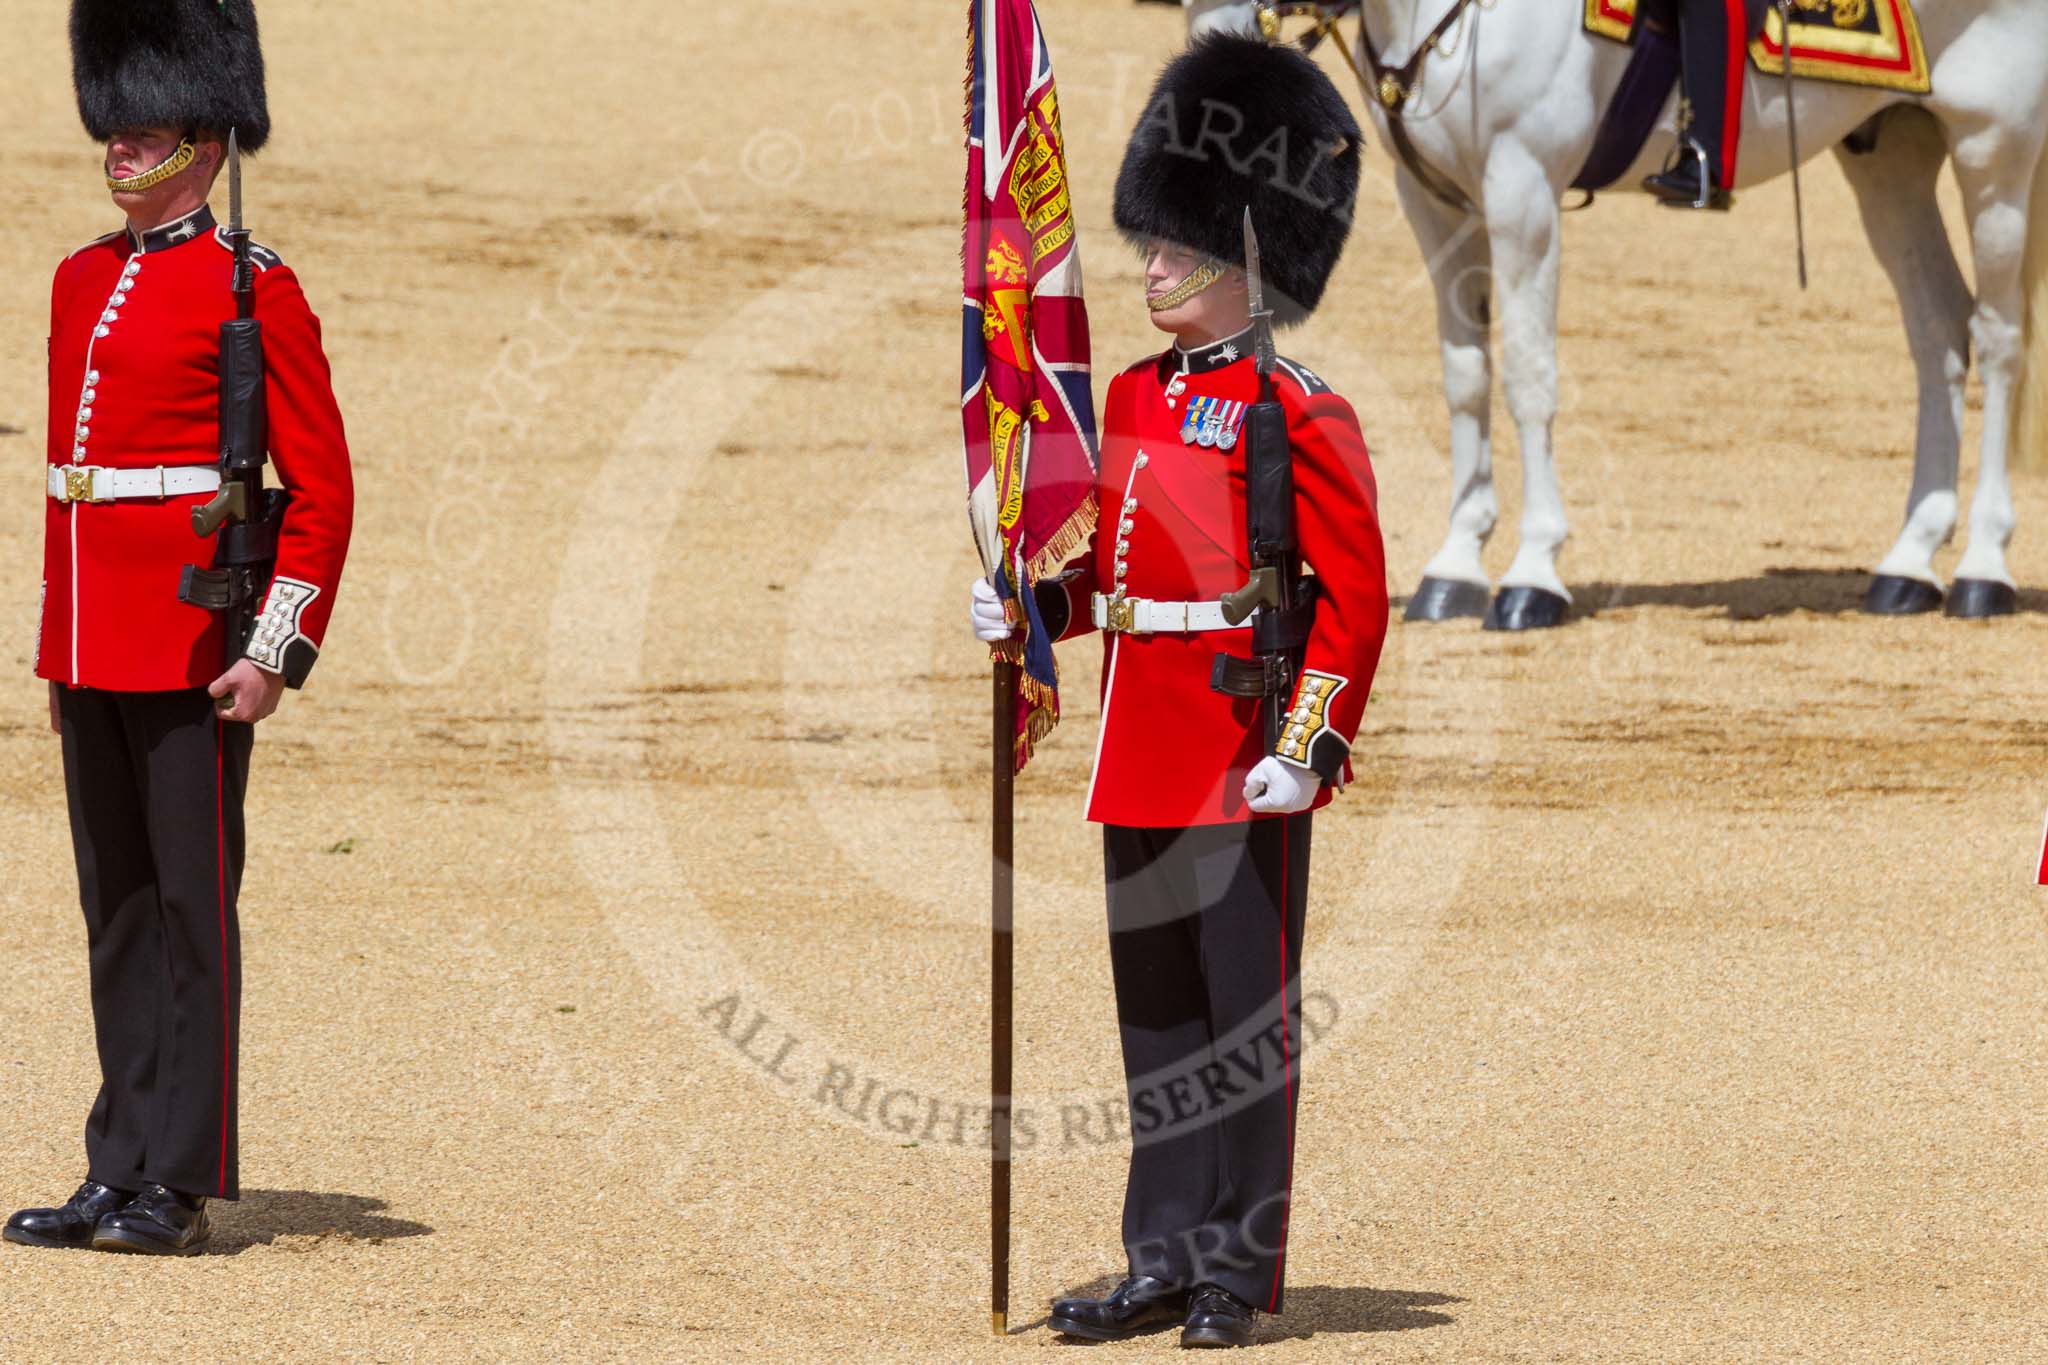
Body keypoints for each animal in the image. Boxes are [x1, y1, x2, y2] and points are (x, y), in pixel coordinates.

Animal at [1179, 0, 2039, 626]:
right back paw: (1909, 562)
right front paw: (1455, 564)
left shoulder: (1522, 190)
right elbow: (1465, 376)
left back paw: (1982, 568)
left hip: (1994, 153)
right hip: (1891, 149)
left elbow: (1528, 377)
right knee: (1939, 330)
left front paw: (1532, 572)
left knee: (1999, 341)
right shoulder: (1435, 201)